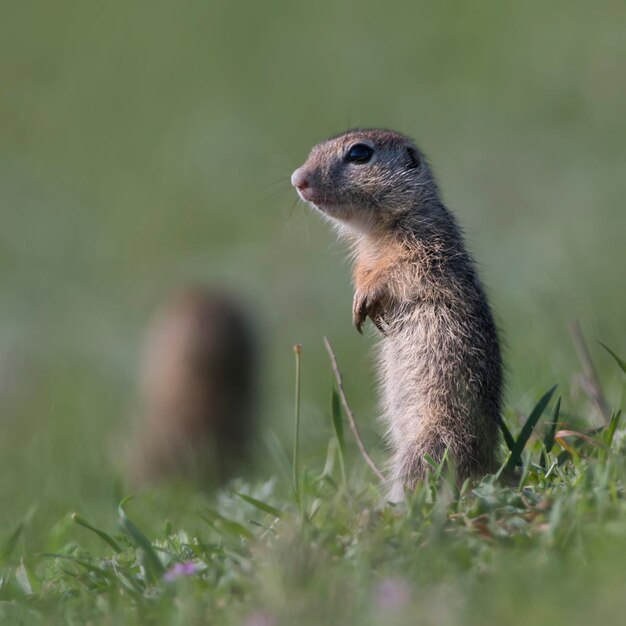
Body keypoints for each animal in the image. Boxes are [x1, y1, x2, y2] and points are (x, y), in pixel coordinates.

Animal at [292, 129, 502, 494]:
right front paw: (359, 301)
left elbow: (402, 271)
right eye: (314, 149)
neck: (375, 232)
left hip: (430, 444)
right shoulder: (365, 256)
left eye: (359, 154)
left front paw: (366, 297)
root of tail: (485, 464)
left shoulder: (426, 245)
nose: (297, 179)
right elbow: (362, 272)